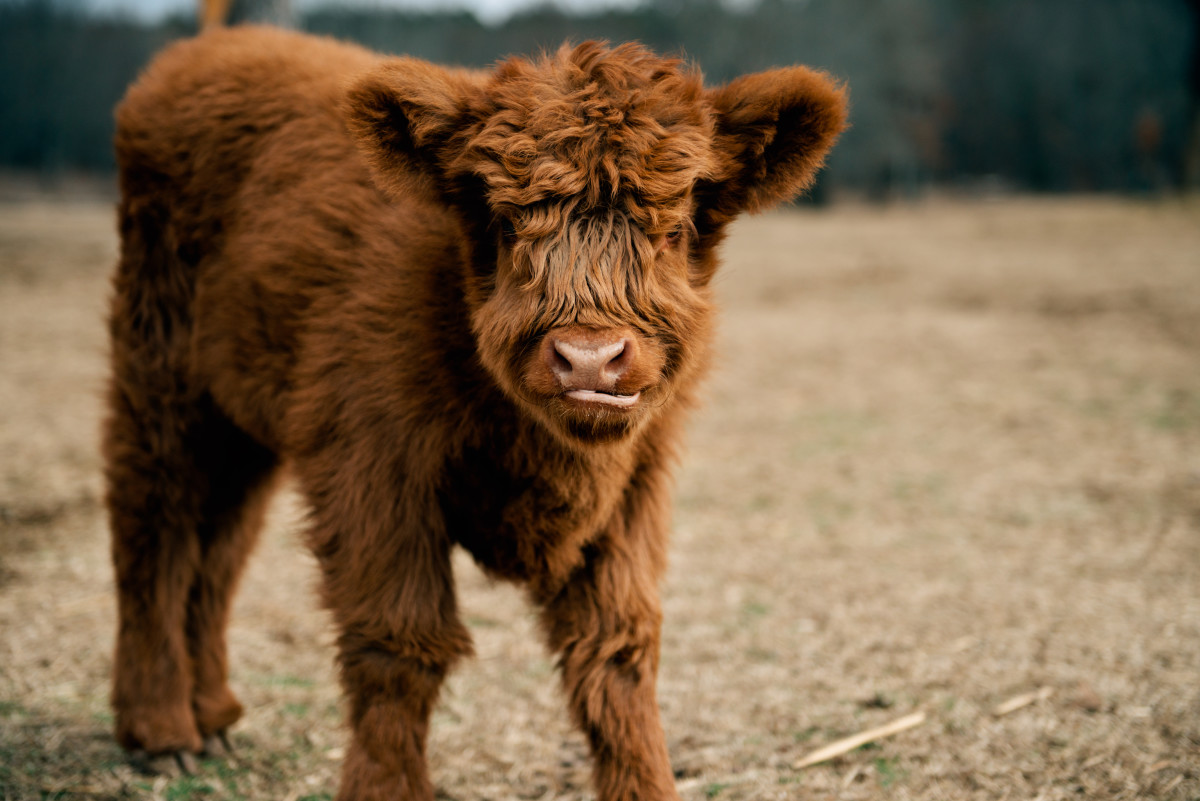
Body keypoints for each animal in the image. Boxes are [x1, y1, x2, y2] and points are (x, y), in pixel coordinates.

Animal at [108, 28, 849, 801]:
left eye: (673, 227)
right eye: (506, 221)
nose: (590, 360)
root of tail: (211, 47)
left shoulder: (636, 484)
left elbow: (616, 646)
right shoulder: (372, 470)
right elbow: (399, 643)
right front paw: (384, 787)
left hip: (240, 422)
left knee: (220, 544)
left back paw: (212, 714)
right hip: (161, 379)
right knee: (154, 526)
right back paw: (162, 731)